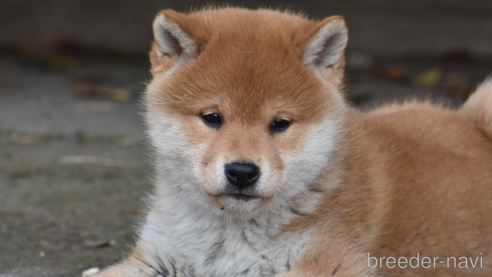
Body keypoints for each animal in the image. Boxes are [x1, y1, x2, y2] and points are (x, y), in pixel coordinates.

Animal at [92, 6, 492, 276]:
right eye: (212, 118)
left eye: (280, 123)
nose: (242, 172)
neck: (227, 235)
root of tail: (472, 125)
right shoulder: (158, 257)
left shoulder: (329, 263)